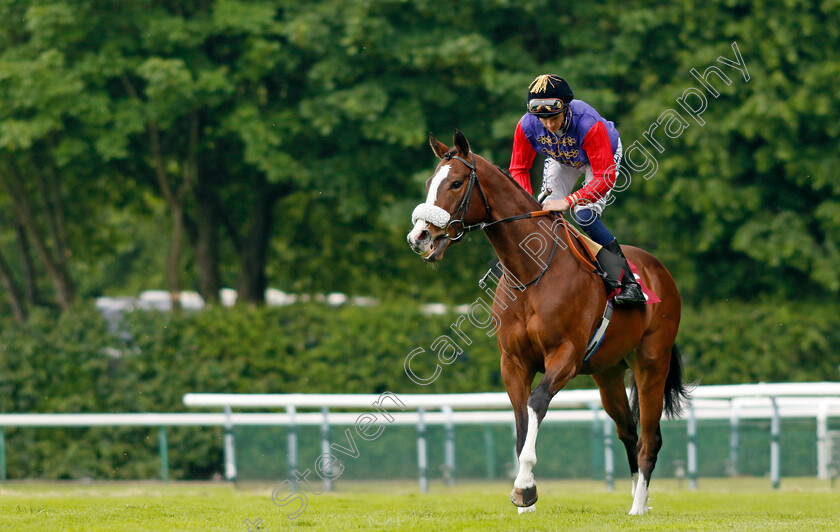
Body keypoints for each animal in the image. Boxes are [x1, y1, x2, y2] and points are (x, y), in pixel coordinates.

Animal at [406, 130, 688, 516]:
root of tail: (660, 272)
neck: (531, 271)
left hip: (651, 362)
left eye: (456, 182)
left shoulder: (565, 356)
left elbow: (536, 403)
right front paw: (525, 504)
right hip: (608, 371)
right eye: (428, 183)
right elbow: (521, 420)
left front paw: (524, 488)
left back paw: (638, 507)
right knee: (628, 431)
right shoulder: (513, 362)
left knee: (650, 436)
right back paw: (638, 502)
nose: (419, 237)